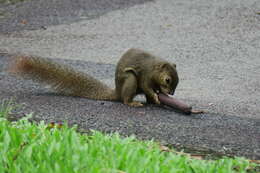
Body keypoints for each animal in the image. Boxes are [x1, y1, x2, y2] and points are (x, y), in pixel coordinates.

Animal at [8, 48, 179, 106]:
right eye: (168, 80)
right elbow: (146, 87)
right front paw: (156, 96)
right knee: (125, 98)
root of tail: (117, 91)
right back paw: (132, 103)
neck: (155, 68)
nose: (171, 93)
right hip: (129, 79)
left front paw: (159, 96)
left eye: (177, 81)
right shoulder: (145, 75)